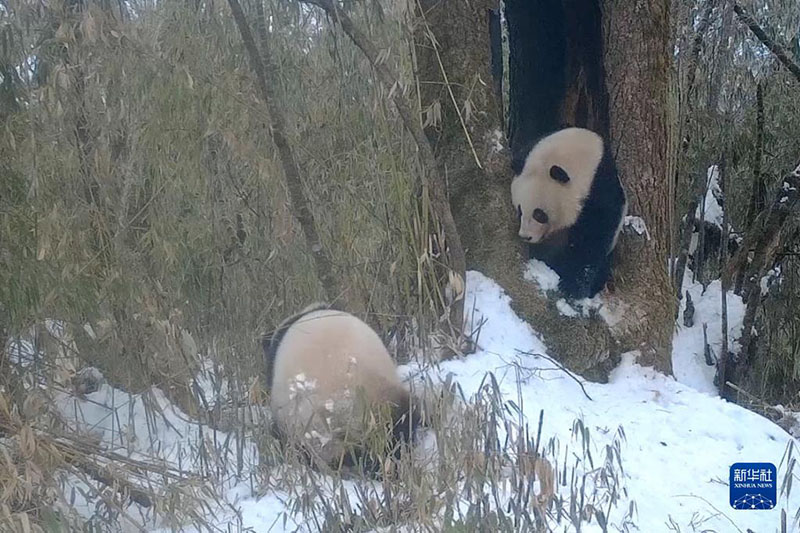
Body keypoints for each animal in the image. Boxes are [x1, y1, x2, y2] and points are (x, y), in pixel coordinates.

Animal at [510, 127, 628, 298]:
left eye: (539, 214)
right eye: (520, 211)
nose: (526, 236)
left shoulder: (599, 193)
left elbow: (593, 240)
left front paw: (572, 287)